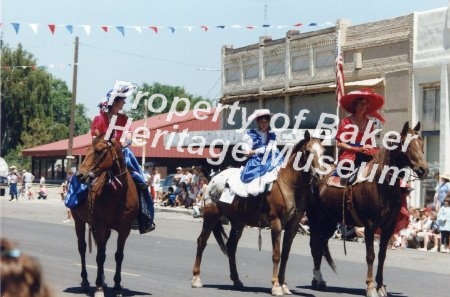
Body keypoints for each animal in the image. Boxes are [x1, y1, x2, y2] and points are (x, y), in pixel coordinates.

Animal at [70, 137, 136, 296]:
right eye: (86, 151)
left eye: (99, 151)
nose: (80, 175)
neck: (119, 194)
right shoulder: (100, 226)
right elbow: (100, 257)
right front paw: (99, 287)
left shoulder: (124, 230)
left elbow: (118, 255)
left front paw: (117, 285)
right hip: (78, 221)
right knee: (82, 248)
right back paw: (86, 281)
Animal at [192, 131, 326, 294]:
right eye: (308, 151)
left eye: (323, 151)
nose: (321, 175)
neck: (290, 185)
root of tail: (212, 180)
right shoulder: (276, 223)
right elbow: (276, 254)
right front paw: (276, 286)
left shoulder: (293, 227)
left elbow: (285, 255)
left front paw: (284, 285)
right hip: (211, 216)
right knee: (202, 241)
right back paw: (196, 278)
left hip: (238, 223)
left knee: (231, 247)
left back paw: (236, 280)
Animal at [310, 121, 428, 296]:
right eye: (406, 144)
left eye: (421, 143)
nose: (424, 170)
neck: (381, 184)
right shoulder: (370, 226)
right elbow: (370, 255)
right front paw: (371, 286)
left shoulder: (388, 226)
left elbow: (382, 255)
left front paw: (381, 286)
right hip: (314, 218)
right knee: (314, 244)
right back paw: (317, 278)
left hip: (329, 220)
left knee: (321, 243)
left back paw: (318, 279)